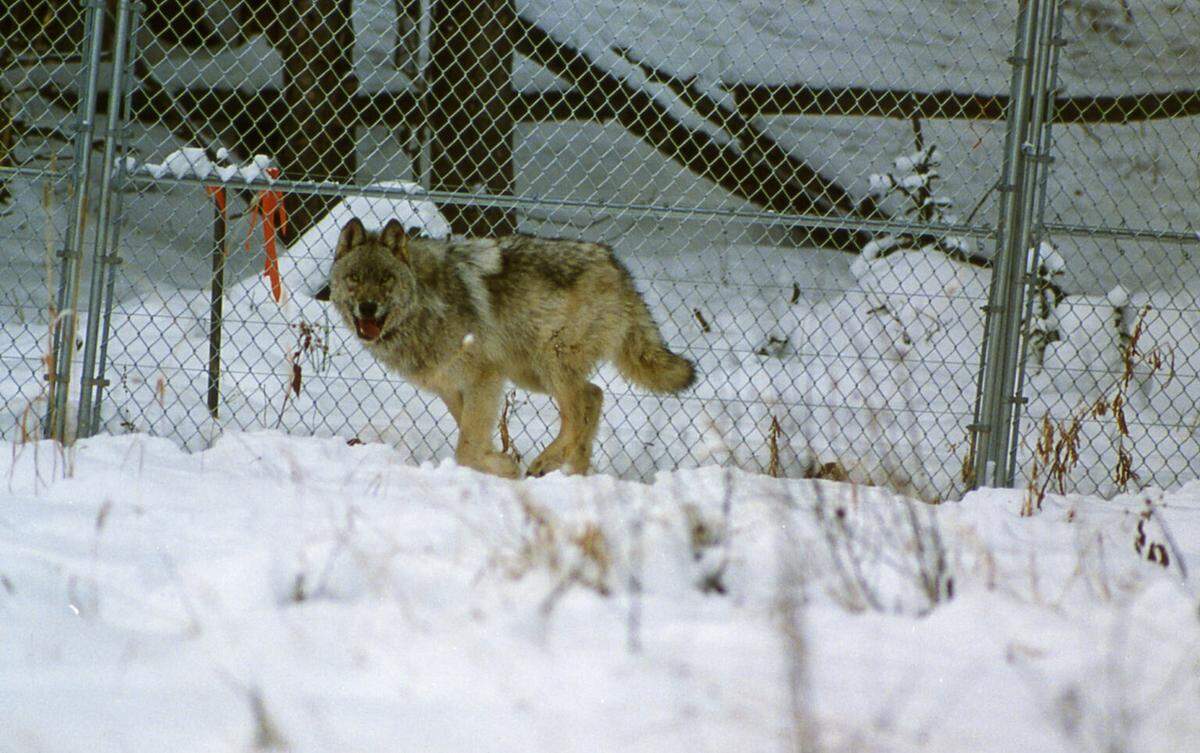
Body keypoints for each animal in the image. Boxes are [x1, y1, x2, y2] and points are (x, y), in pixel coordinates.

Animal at [328, 217, 695, 478]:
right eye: (355, 278)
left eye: (385, 279)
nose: (368, 308)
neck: (424, 306)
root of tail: (615, 264)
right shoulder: (451, 387)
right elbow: (473, 437)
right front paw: (500, 464)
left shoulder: (485, 377)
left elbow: (466, 448)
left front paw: (504, 467)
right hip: (531, 372)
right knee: (594, 396)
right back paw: (573, 476)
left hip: (549, 362)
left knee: (581, 409)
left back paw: (545, 463)